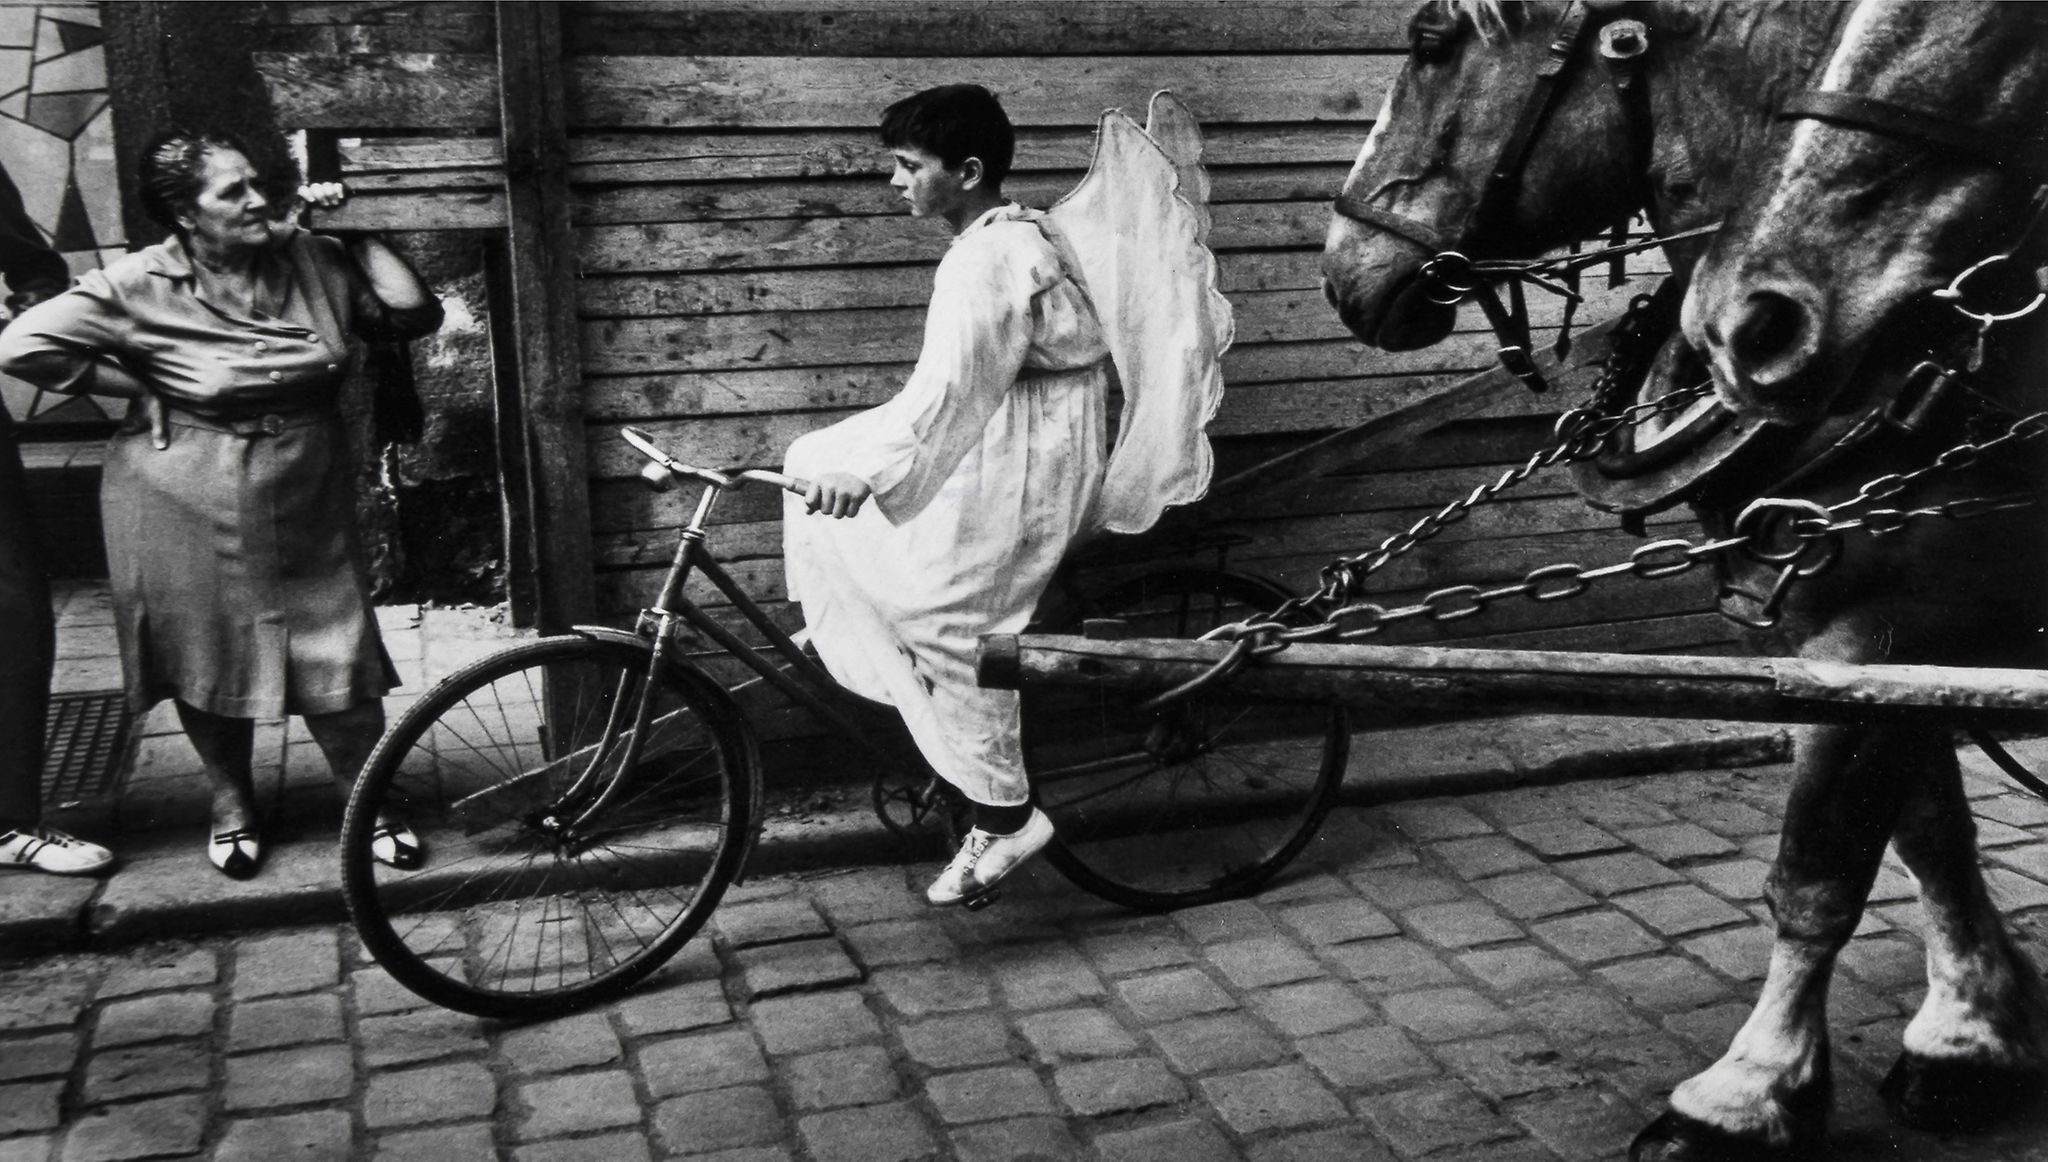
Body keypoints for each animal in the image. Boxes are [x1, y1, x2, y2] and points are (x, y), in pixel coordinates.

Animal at [1318, 4, 2039, 1155]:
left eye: (1431, 41)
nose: (1340, 270)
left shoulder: (1877, 626)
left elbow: (1818, 873)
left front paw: (1745, 1091)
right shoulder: (1863, 642)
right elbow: (1930, 834)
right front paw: (1970, 1033)